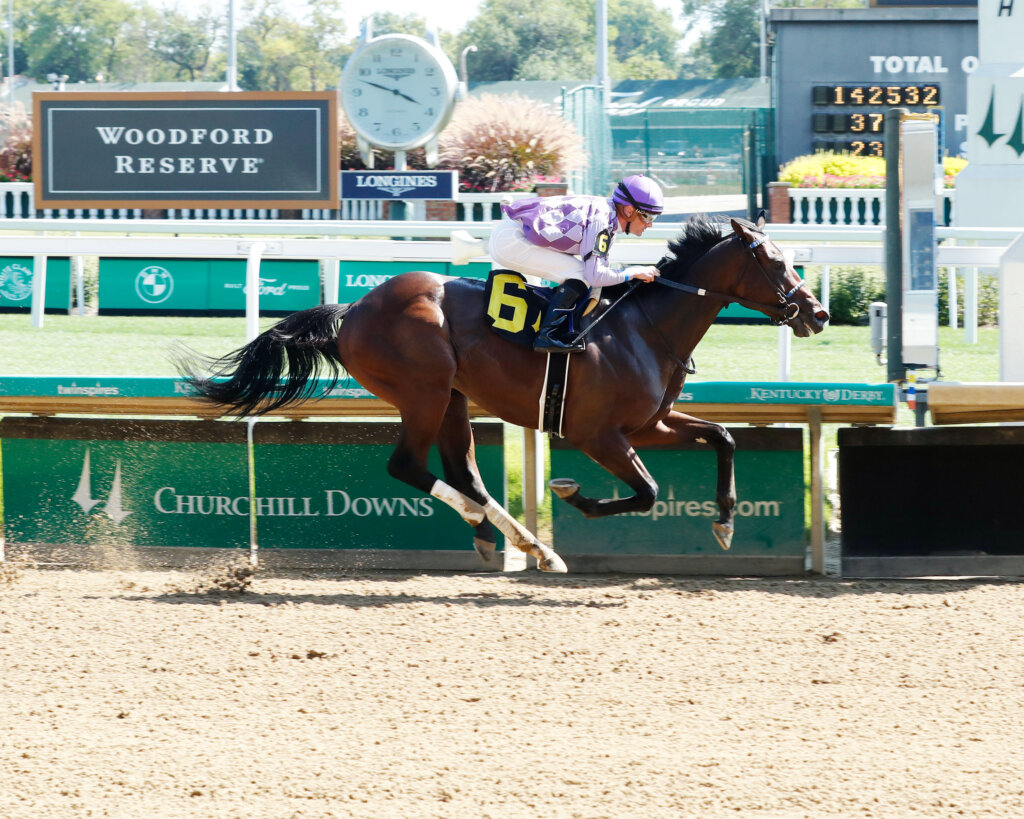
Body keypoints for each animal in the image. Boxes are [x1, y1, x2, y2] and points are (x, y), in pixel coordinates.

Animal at [178, 213, 831, 573]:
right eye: (775, 263)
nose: (819, 313)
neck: (646, 328)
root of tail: (354, 308)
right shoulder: (597, 434)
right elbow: (644, 492)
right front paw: (572, 494)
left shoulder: (650, 425)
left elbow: (722, 438)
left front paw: (724, 523)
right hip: (423, 390)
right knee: (409, 467)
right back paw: (498, 530)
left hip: (453, 397)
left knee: (464, 471)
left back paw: (525, 544)